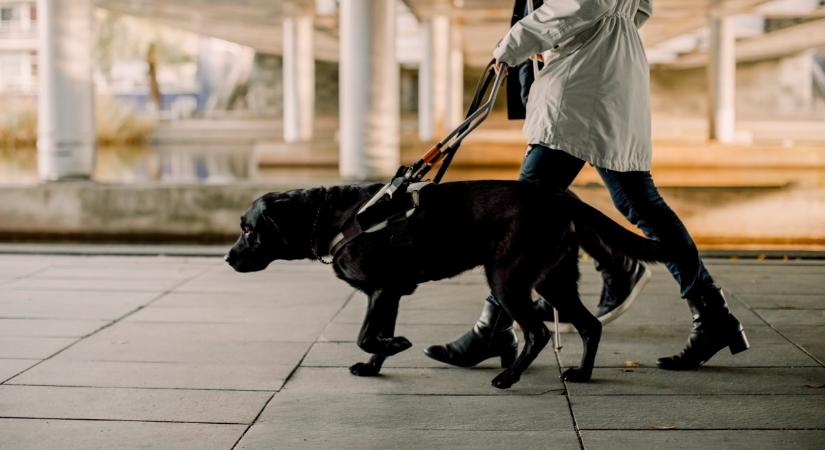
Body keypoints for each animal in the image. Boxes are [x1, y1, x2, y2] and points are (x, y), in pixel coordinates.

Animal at [225, 181, 668, 388]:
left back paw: (509, 377)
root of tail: (561, 198)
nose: (228, 258)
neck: (334, 216)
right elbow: (375, 336)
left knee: (538, 332)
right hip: (553, 280)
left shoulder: (381, 289)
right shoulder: (390, 293)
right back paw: (582, 374)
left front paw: (395, 345)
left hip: (508, 278)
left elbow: (366, 335)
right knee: (589, 325)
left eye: (248, 230)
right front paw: (379, 360)